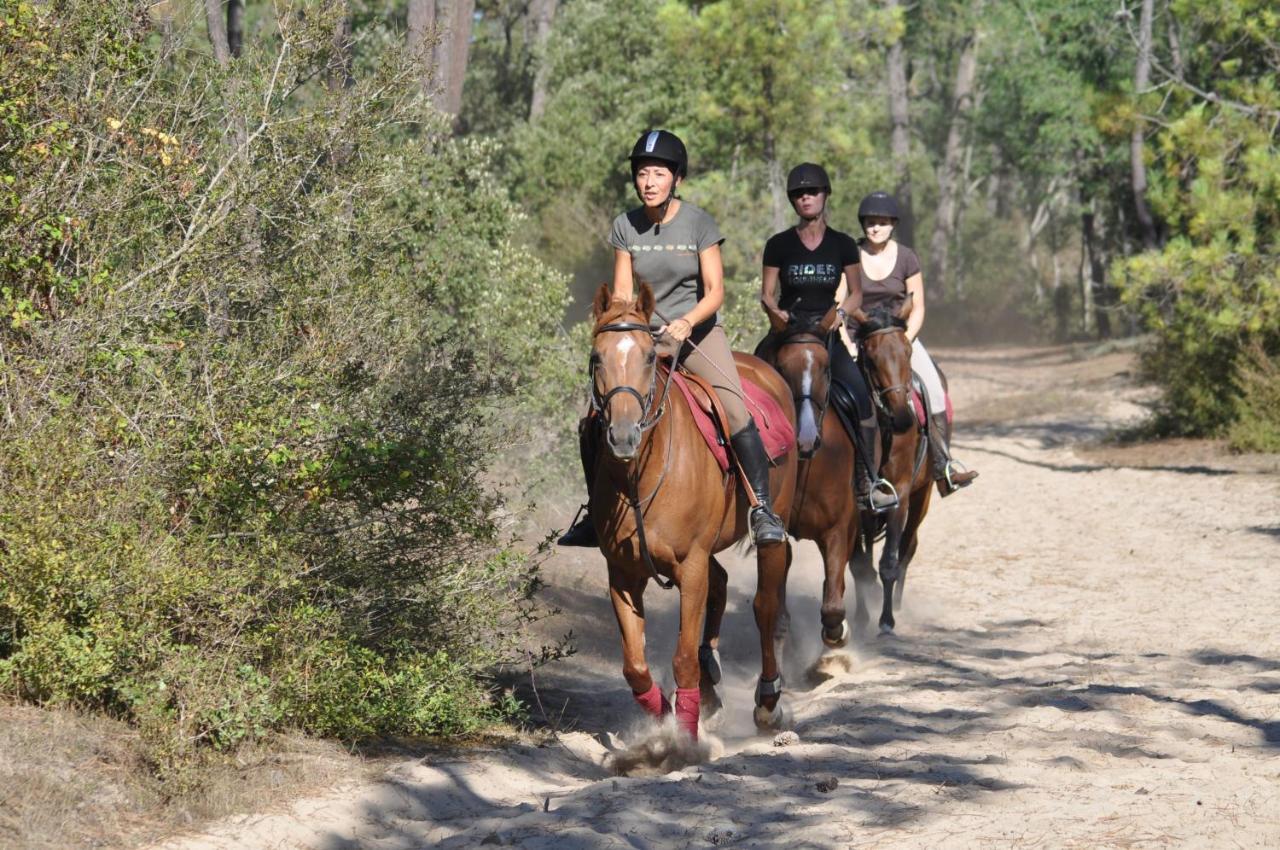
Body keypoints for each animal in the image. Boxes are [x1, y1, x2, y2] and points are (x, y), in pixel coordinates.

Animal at [586, 284, 793, 737]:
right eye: (597, 357)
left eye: (649, 356)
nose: (623, 436)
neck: (640, 477)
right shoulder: (622, 573)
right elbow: (635, 667)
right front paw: (665, 714)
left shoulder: (691, 565)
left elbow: (681, 659)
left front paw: (683, 737)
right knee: (722, 585)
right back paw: (713, 682)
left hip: (774, 526)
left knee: (766, 605)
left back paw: (768, 700)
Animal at [757, 308, 860, 647]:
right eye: (780, 367)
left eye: (826, 368)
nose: (805, 438)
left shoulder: (838, 527)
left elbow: (833, 609)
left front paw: (838, 635)